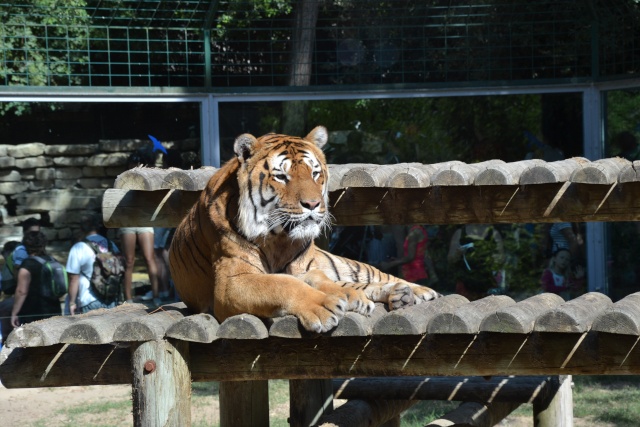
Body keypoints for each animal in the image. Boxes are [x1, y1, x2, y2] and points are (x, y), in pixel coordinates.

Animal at [169, 125, 440, 332]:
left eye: (315, 173)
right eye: (281, 177)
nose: (312, 204)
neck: (278, 239)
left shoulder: (303, 268)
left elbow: (316, 280)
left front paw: (343, 296)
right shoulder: (231, 284)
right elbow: (282, 284)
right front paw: (325, 305)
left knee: (374, 275)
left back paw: (416, 291)